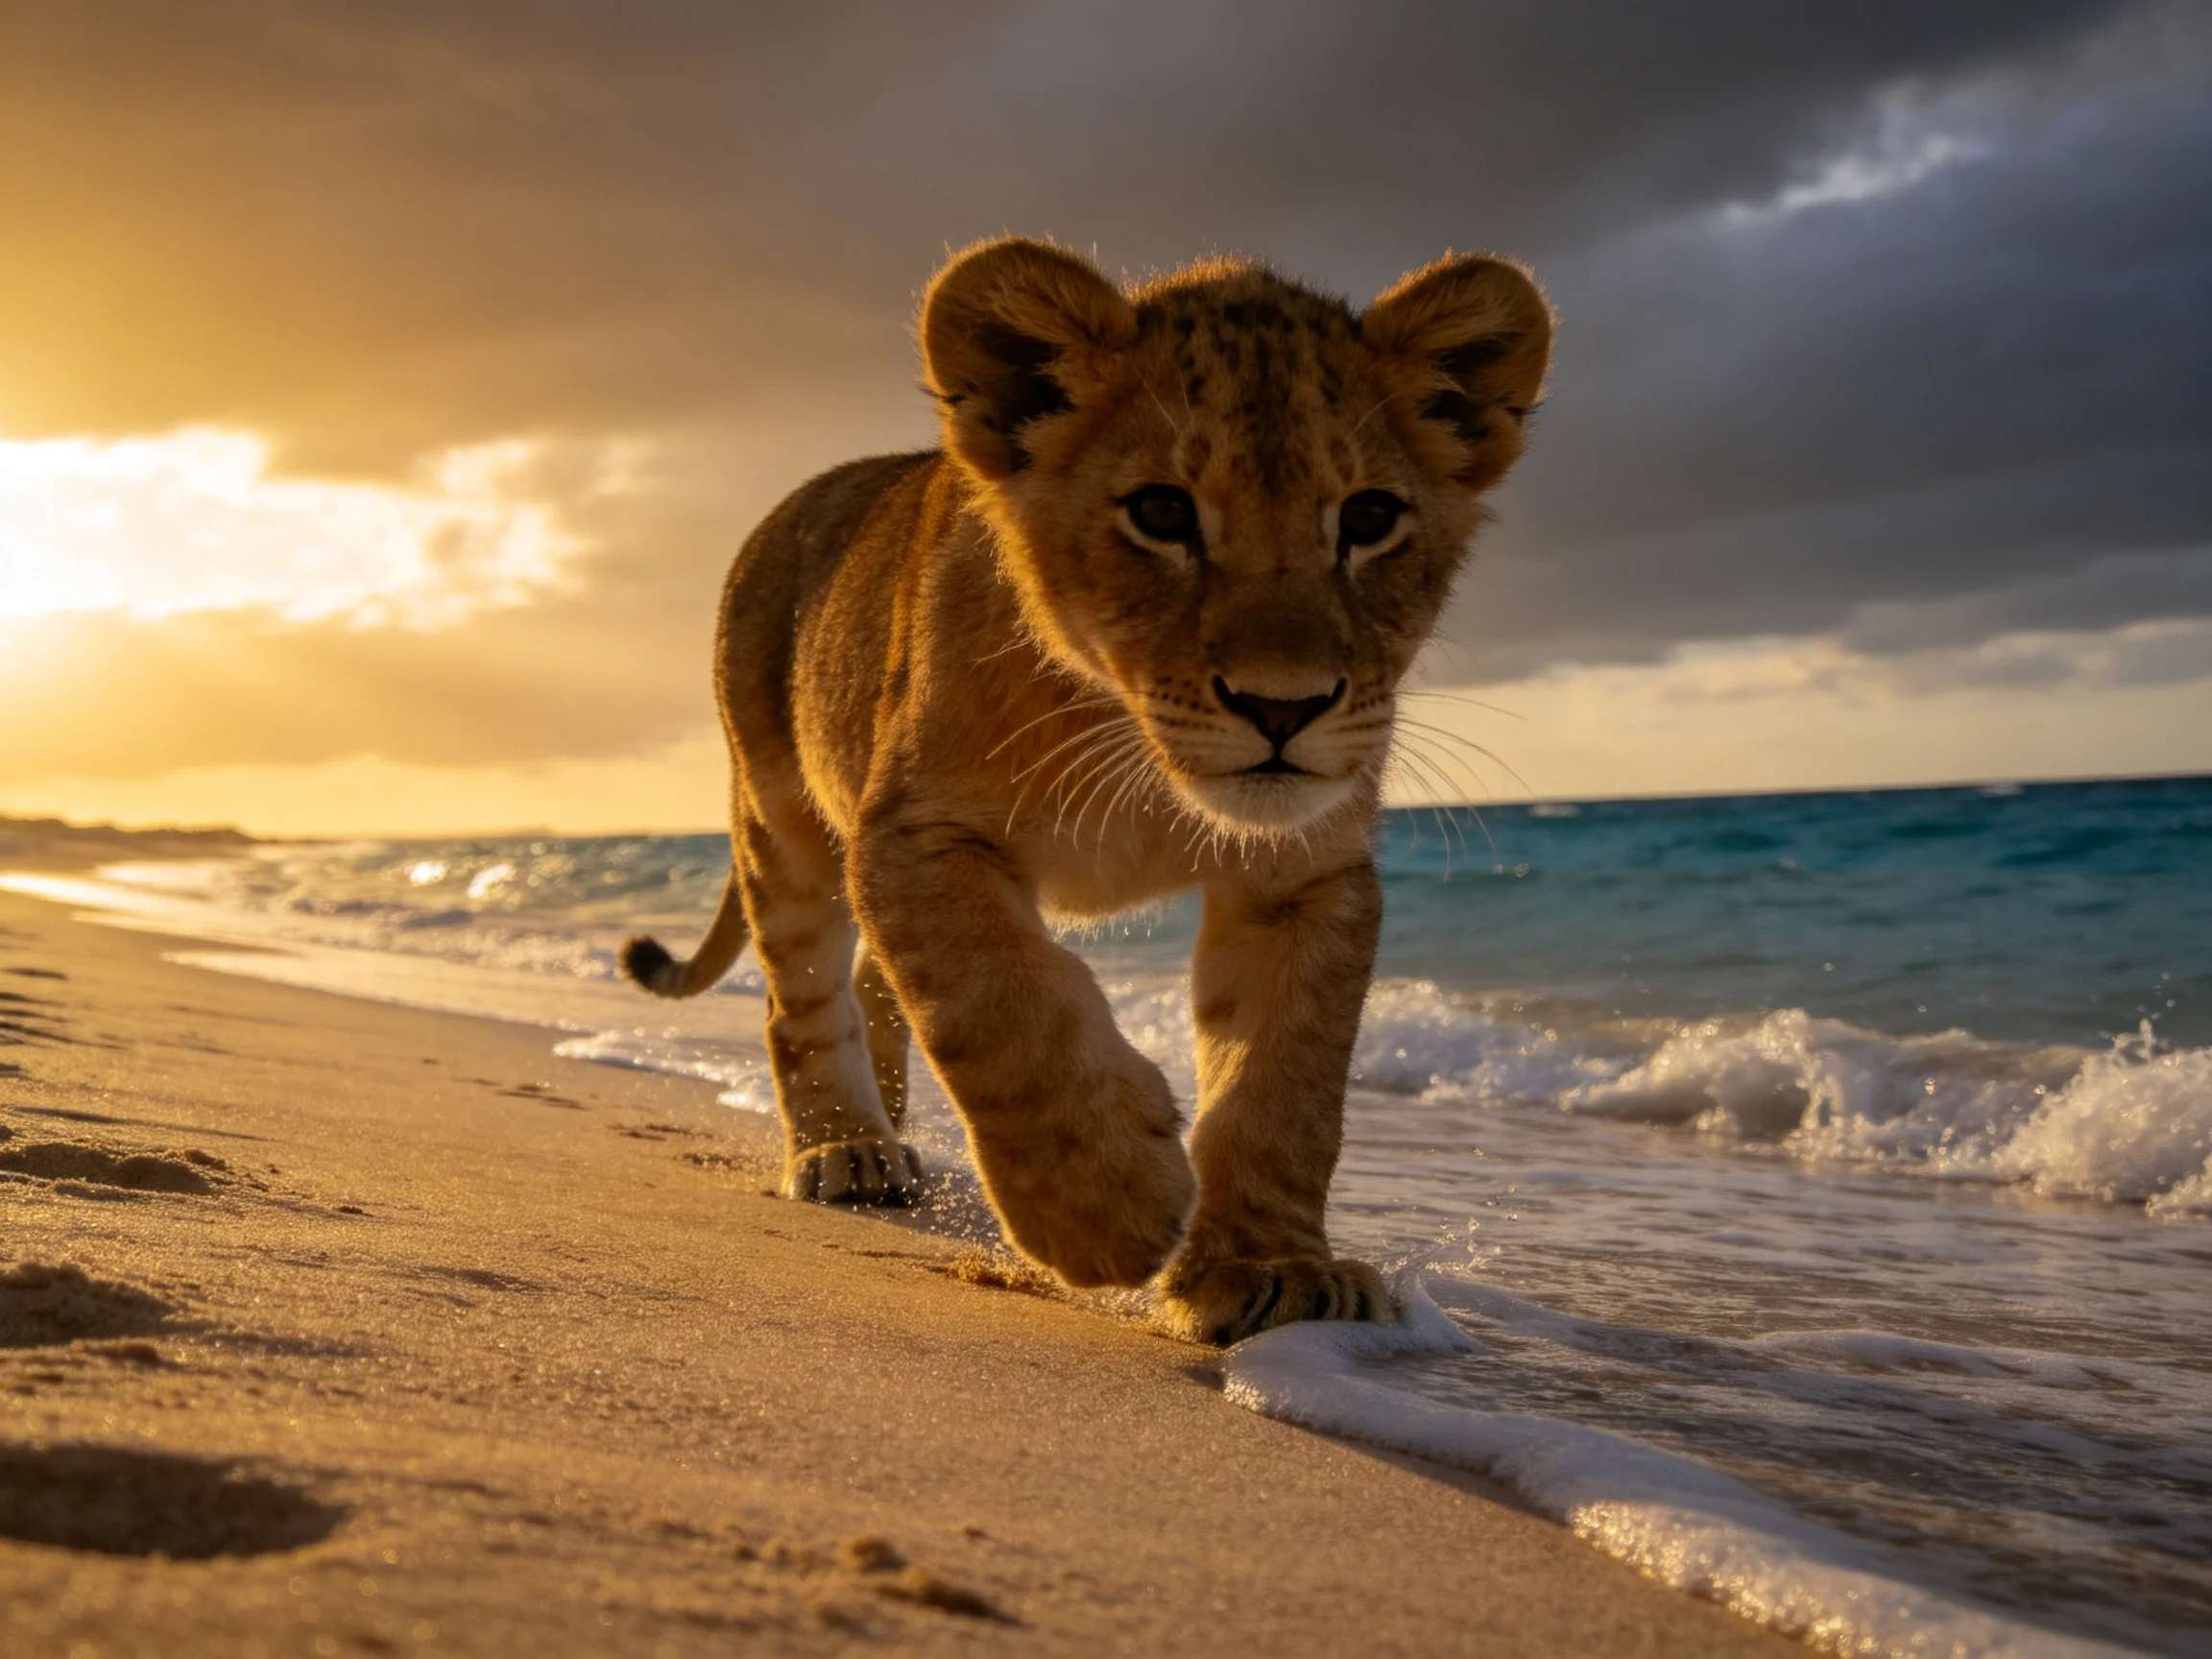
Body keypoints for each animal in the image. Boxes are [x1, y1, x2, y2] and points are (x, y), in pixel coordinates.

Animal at [621, 237, 1551, 1344]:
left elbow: (1283, 1086)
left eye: (1369, 519)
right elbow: (1003, 1007)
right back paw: (849, 1151)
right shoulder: (914, 834)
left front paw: (1272, 1272)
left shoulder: (1304, 875)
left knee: (872, 985)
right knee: (800, 994)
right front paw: (1104, 1215)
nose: (1282, 706)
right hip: (779, 815)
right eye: (1161, 512)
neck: (1141, 750)